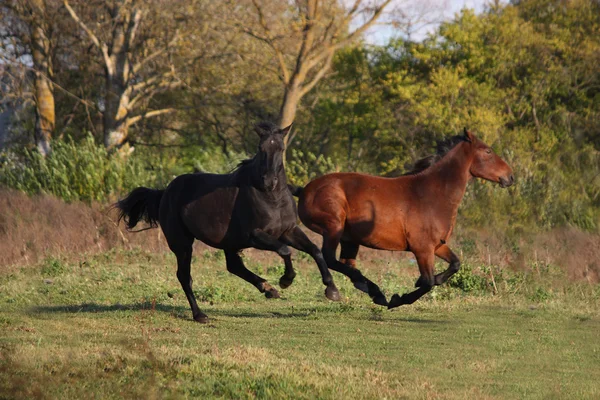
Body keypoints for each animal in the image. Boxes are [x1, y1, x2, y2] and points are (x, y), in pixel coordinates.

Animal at [116, 121, 340, 322]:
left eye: (281, 148)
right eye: (261, 148)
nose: (269, 181)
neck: (271, 198)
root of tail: (164, 192)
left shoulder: (288, 231)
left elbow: (314, 250)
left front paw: (332, 290)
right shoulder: (255, 235)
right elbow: (285, 250)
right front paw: (286, 279)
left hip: (228, 243)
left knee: (233, 266)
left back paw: (268, 288)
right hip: (183, 244)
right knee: (185, 276)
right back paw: (200, 315)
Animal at [292, 130, 512, 308]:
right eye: (488, 151)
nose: (510, 177)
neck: (432, 195)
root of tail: (305, 191)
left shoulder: (437, 245)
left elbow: (454, 264)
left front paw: (417, 284)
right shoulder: (422, 249)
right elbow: (428, 281)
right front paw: (399, 298)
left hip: (350, 238)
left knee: (346, 263)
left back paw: (375, 292)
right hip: (333, 228)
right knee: (328, 258)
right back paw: (342, 291)